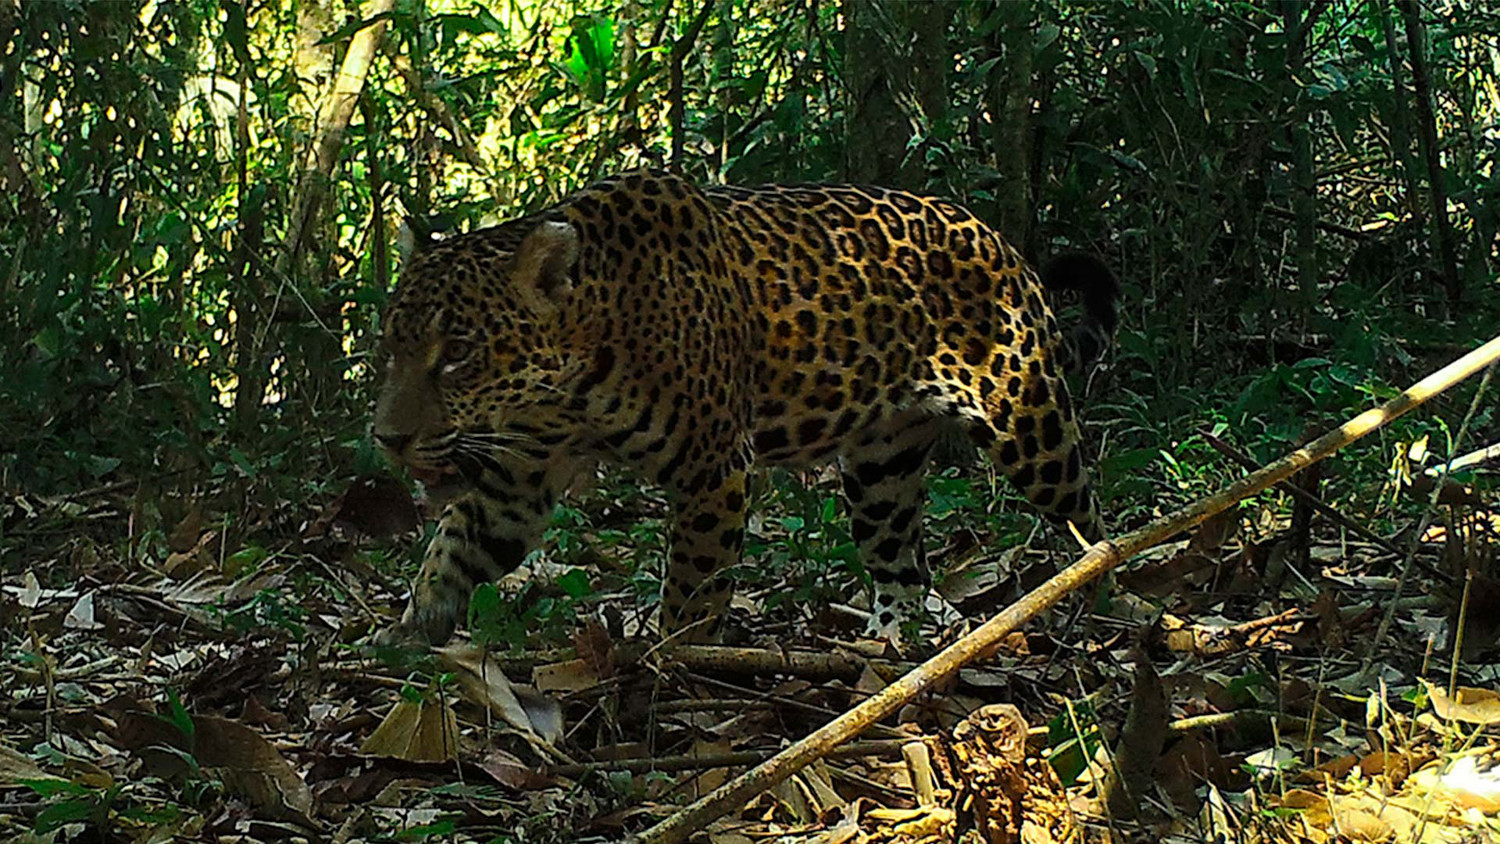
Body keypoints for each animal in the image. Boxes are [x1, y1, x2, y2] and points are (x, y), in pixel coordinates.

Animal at [371, 169, 1118, 646]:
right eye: (393, 345)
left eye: (457, 353)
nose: (386, 439)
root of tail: (1001, 241)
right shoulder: (515, 481)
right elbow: (453, 550)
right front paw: (410, 635)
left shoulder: (714, 469)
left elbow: (694, 588)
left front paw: (671, 662)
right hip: (882, 468)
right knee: (901, 568)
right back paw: (885, 651)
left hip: (1029, 422)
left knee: (1085, 516)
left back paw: (1099, 603)